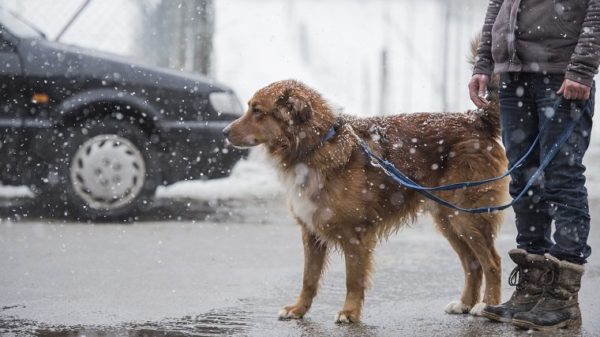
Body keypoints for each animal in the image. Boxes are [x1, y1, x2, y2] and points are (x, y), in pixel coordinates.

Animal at [223, 75, 508, 320]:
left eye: (257, 110)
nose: (224, 131)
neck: (315, 145)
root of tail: (476, 120)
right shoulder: (311, 231)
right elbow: (308, 278)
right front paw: (298, 309)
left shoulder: (355, 233)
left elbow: (353, 279)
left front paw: (349, 313)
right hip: (448, 219)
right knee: (472, 263)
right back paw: (465, 303)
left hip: (466, 217)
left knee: (492, 262)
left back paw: (486, 306)